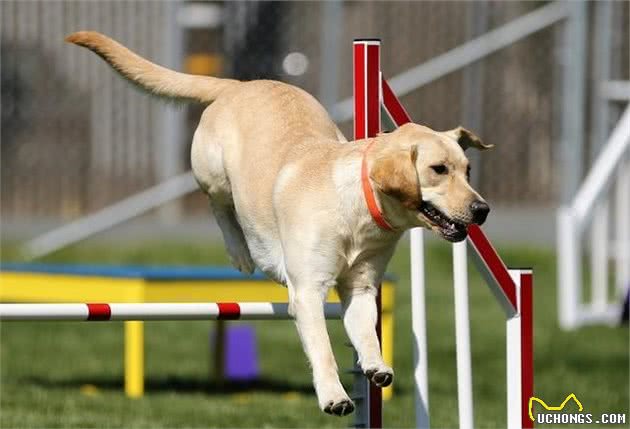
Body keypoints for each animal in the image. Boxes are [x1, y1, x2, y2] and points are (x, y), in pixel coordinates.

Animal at [68, 31, 494, 416]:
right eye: (438, 170)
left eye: (468, 170)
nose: (482, 210)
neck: (358, 206)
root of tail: (240, 85)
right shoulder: (307, 292)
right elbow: (323, 349)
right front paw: (335, 397)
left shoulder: (360, 287)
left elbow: (368, 334)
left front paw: (375, 366)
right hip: (213, 173)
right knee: (219, 206)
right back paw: (240, 252)